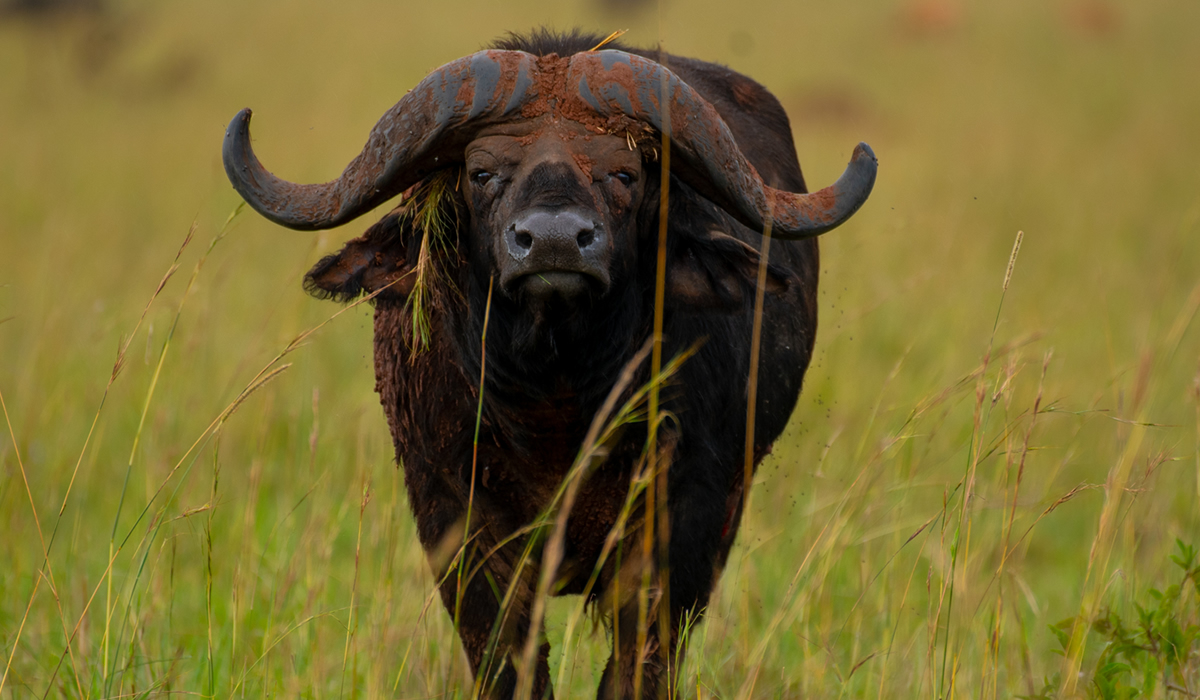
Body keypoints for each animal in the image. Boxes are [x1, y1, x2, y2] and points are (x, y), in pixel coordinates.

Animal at [223, 29, 876, 699]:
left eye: (625, 173)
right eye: (481, 173)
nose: (555, 241)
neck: (555, 404)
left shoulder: (686, 521)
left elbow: (638, 663)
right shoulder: (454, 519)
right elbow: (509, 663)